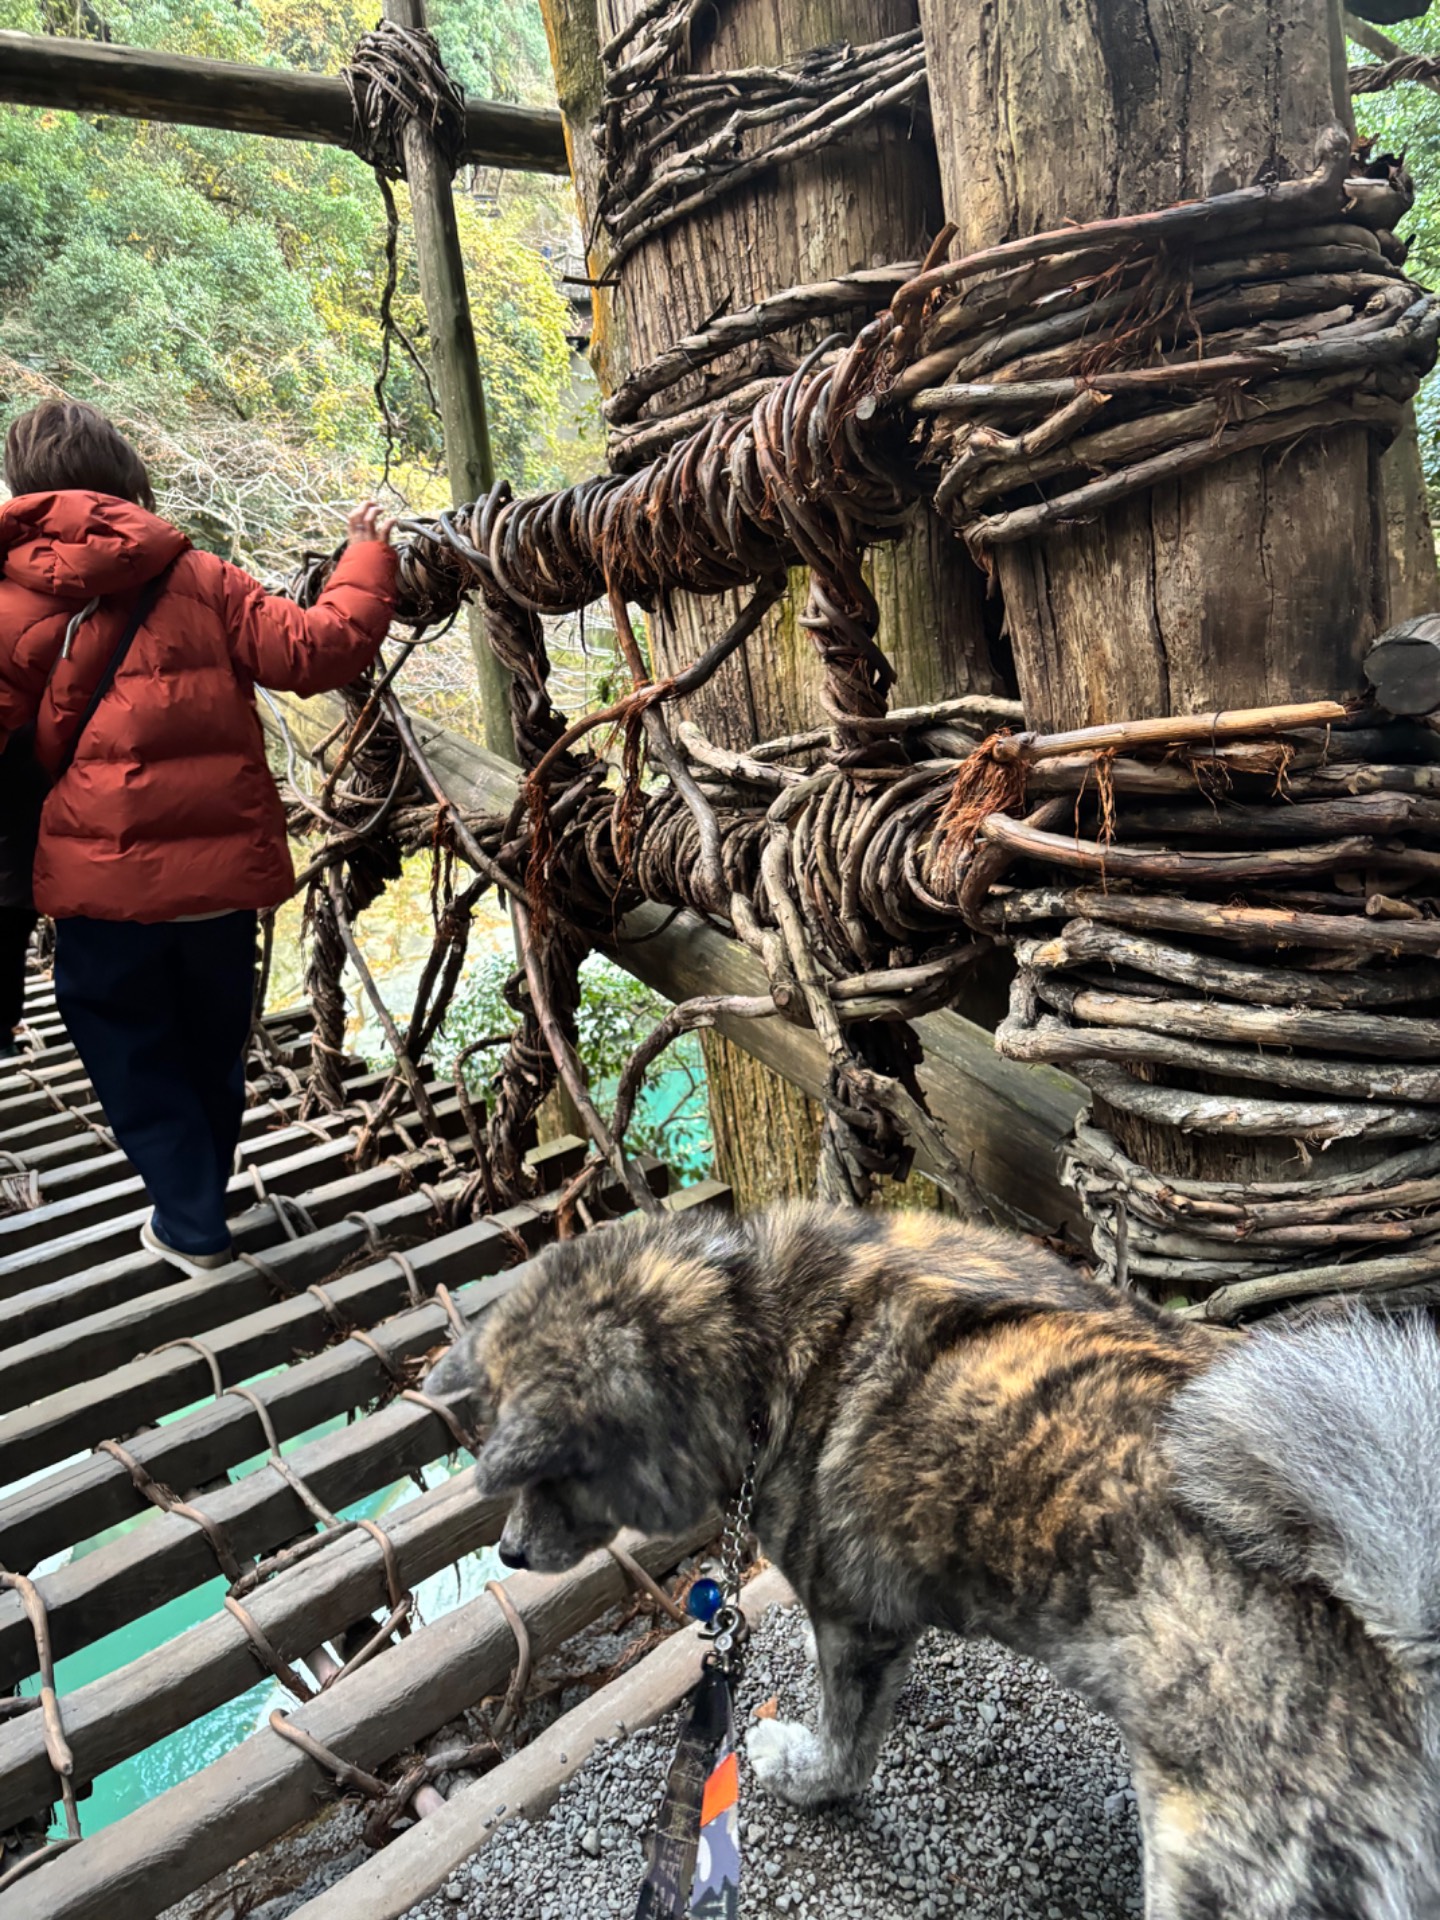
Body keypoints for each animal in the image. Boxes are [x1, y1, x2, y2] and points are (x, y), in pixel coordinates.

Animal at [426, 1202, 1440, 1919]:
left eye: (549, 1477)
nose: (509, 1548)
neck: (755, 1336)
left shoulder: (850, 1618)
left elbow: (844, 1746)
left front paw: (804, 1771)